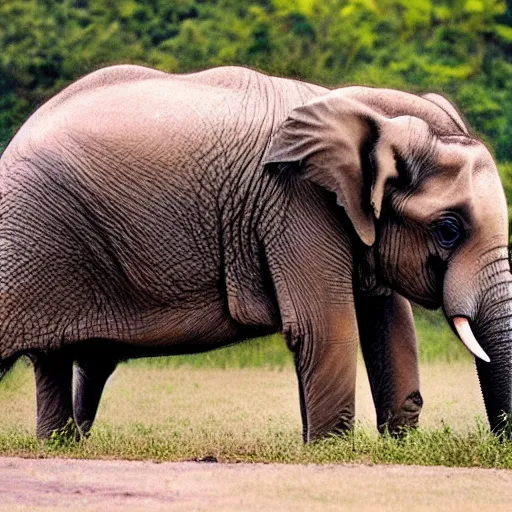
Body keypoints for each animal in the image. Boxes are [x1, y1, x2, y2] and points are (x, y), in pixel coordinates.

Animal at [0, 63, 510, 440]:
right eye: (448, 230)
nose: (497, 440)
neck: (362, 109)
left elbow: (390, 326)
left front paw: (397, 445)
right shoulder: (294, 204)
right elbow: (324, 327)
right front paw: (329, 450)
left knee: (62, 359)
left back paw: (59, 444)